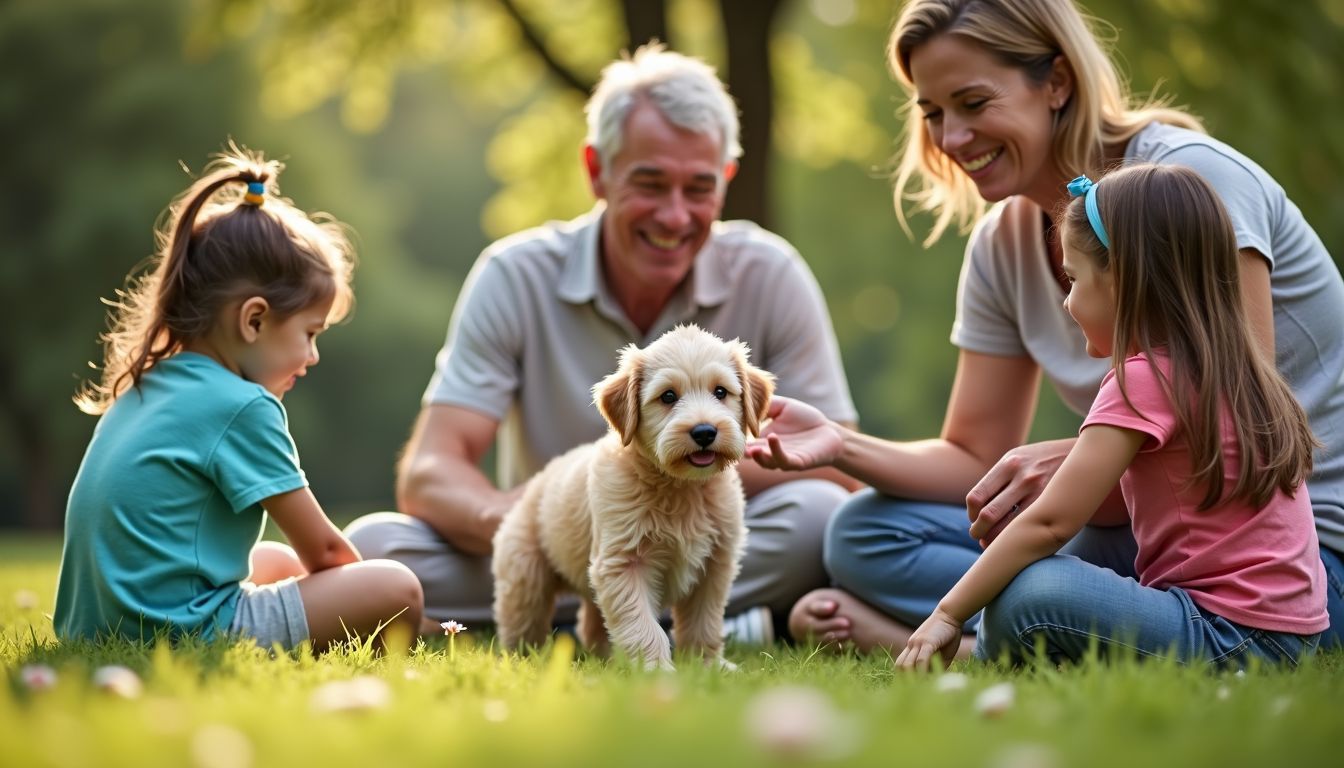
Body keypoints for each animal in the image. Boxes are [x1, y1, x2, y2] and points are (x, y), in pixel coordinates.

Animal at [491, 321, 779, 669]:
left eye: (721, 392)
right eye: (668, 396)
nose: (704, 432)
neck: (680, 487)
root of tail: (536, 482)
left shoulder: (715, 564)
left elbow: (705, 621)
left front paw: (708, 666)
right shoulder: (624, 563)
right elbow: (641, 625)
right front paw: (655, 669)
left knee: (590, 623)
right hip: (525, 572)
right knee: (522, 619)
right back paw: (522, 661)